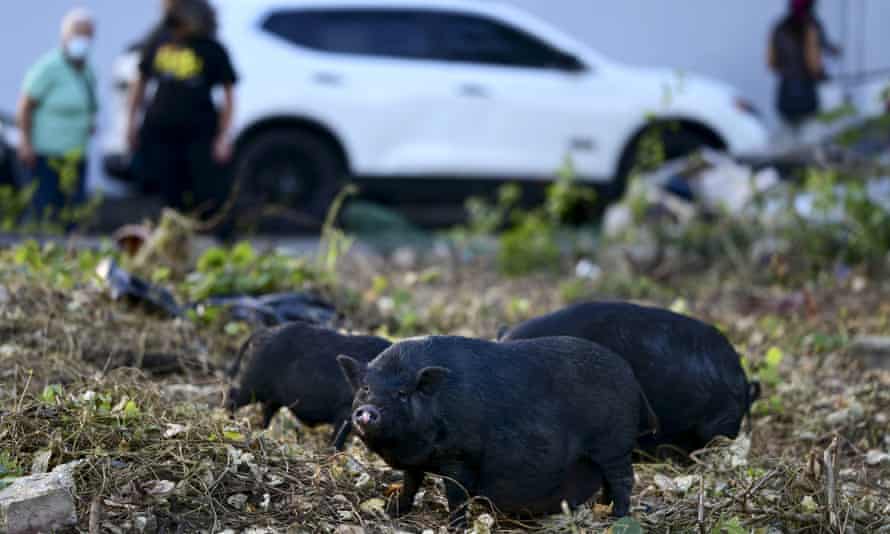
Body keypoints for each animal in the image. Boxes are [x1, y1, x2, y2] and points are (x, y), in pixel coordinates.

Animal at [225, 322, 388, 452]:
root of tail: (263, 332)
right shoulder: (345, 411)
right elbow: (340, 434)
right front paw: (333, 452)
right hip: (254, 382)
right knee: (233, 395)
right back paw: (230, 421)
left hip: (273, 396)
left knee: (266, 410)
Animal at [334, 338, 652, 524]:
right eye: (365, 389)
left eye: (401, 394)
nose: (368, 411)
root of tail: (632, 378)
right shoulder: (416, 459)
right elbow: (411, 483)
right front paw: (393, 511)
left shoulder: (459, 456)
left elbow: (456, 494)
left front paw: (455, 526)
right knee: (609, 481)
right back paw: (602, 507)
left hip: (613, 443)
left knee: (623, 478)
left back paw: (616, 518)